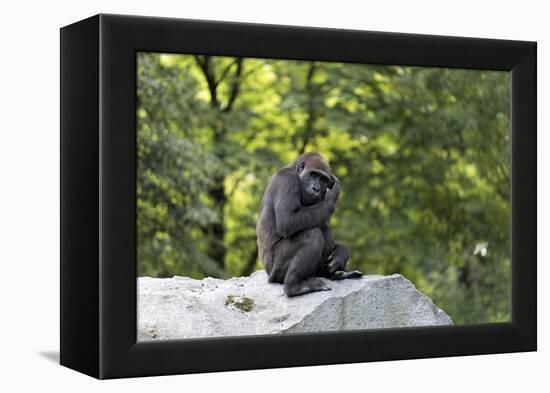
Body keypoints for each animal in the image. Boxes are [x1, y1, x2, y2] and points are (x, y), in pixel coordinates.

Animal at [258, 152, 364, 296]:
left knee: (321, 227)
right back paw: (294, 286)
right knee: (312, 234)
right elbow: (288, 220)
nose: (316, 189)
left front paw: (340, 253)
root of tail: (268, 275)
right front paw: (332, 195)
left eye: (323, 180)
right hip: (275, 273)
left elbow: (320, 217)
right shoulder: (287, 179)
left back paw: (333, 274)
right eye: (314, 174)